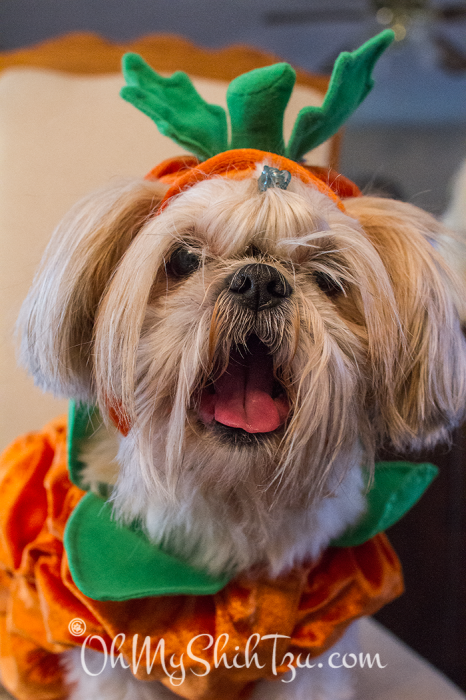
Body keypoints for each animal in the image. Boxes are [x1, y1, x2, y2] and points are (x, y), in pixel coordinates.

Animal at [1, 30, 464, 700]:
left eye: (328, 277)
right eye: (183, 259)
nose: (259, 281)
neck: (231, 497)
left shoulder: (308, 653)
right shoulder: (113, 654)